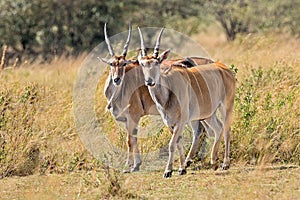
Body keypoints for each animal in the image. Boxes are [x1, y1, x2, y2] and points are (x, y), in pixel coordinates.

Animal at [99, 24, 212, 173]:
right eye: (112, 64)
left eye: (123, 64)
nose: (117, 79)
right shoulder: (128, 120)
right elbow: (133, 139)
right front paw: (136, 165)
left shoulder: (133, 116)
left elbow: (130, 140)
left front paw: (129, 166)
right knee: (201, 130)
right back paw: (192, 160)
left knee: (200, 131)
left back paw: (189, 160)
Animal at [137, 27, 236, 178]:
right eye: (142, 64)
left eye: (157, 63)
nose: (149, 81)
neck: (168, 92)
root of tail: (225, 69)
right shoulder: (170, 123)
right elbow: (178, 143)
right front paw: (181, 169)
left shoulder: (181, 122)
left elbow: (172, 144)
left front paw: (168, 171)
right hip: (208, 114)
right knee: (218, 128)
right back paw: (213, 162)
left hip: (226, 106)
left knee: (226, 129)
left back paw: (225, 163)